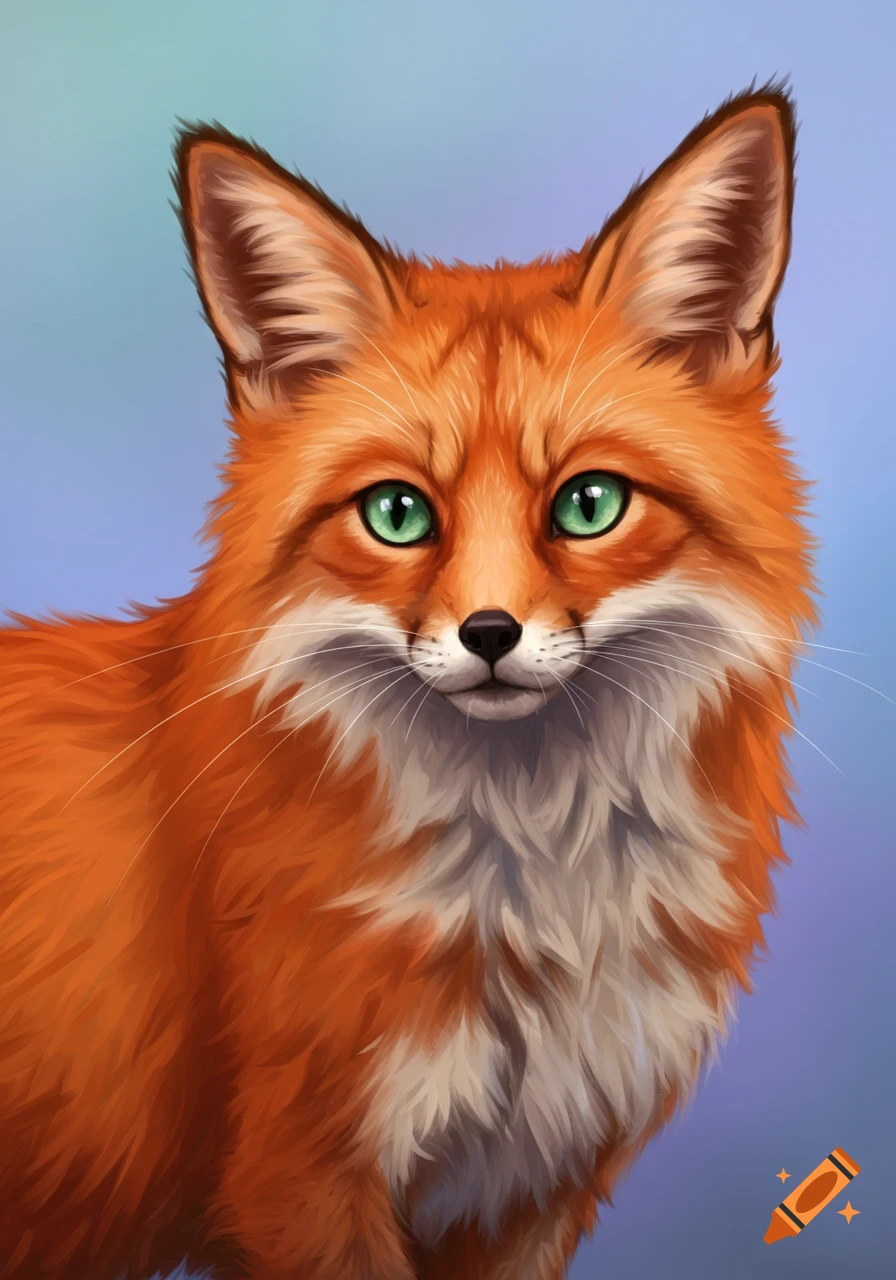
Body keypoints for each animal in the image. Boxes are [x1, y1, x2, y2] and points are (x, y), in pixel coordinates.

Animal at [0, 84, 817, 1280]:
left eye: (588, 504)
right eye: (397, 513)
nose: (489, 633)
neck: (535, 895)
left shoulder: (526, 1188)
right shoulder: (296, 1178)